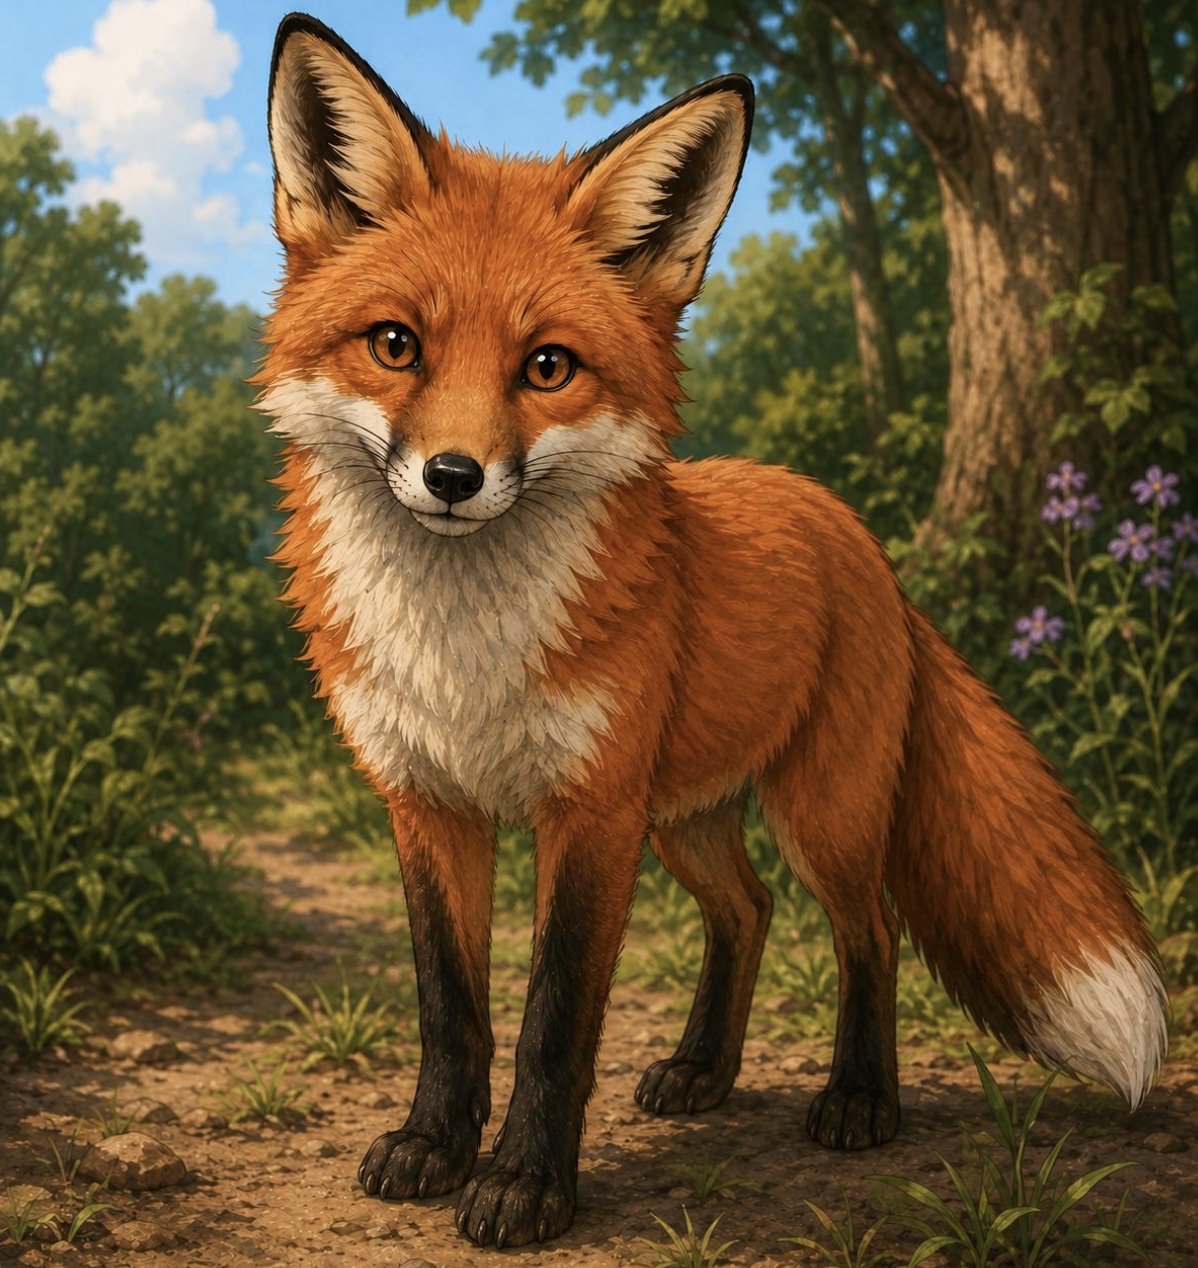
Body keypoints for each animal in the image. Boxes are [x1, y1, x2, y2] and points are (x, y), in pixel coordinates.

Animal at [258, 12, 1168, 1251]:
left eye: (547, 366)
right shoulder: (428, 799)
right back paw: (703, 1069)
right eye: (395, 345)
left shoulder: (588, 813)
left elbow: (553, 1021)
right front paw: (433, 1145)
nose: (452, 477)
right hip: (684, 817)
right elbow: (451, 1007)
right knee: (749, 908)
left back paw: (858, 1100)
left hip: (816, 810)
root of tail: (847, 524)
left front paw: (524, 1187)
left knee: (868, 928)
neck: (464, 650)